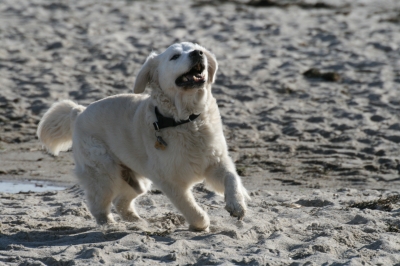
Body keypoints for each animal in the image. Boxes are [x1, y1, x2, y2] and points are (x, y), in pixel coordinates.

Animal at [37, 42, 250, 231]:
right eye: (174, 56)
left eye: (198, 48)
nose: (198, 53)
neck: (186, 120)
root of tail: (78, 112)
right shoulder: (169, 180)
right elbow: (188, 206)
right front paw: (201, 224)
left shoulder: (216, 160)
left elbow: (231, 177)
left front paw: (237, 205)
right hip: (104, 172)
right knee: (99, 204)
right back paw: (110, 224)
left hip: (136, 179)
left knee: (121, 200)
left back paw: (137, 220)